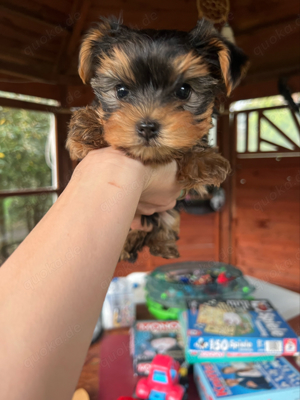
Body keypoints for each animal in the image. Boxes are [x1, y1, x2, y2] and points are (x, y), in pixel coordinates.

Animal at [67, 17, 247, 262]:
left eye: (184, 90)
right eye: (121, 91)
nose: (147, 127)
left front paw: (203, 160)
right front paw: (88, 125)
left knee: (166, 221)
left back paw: (163, 246)